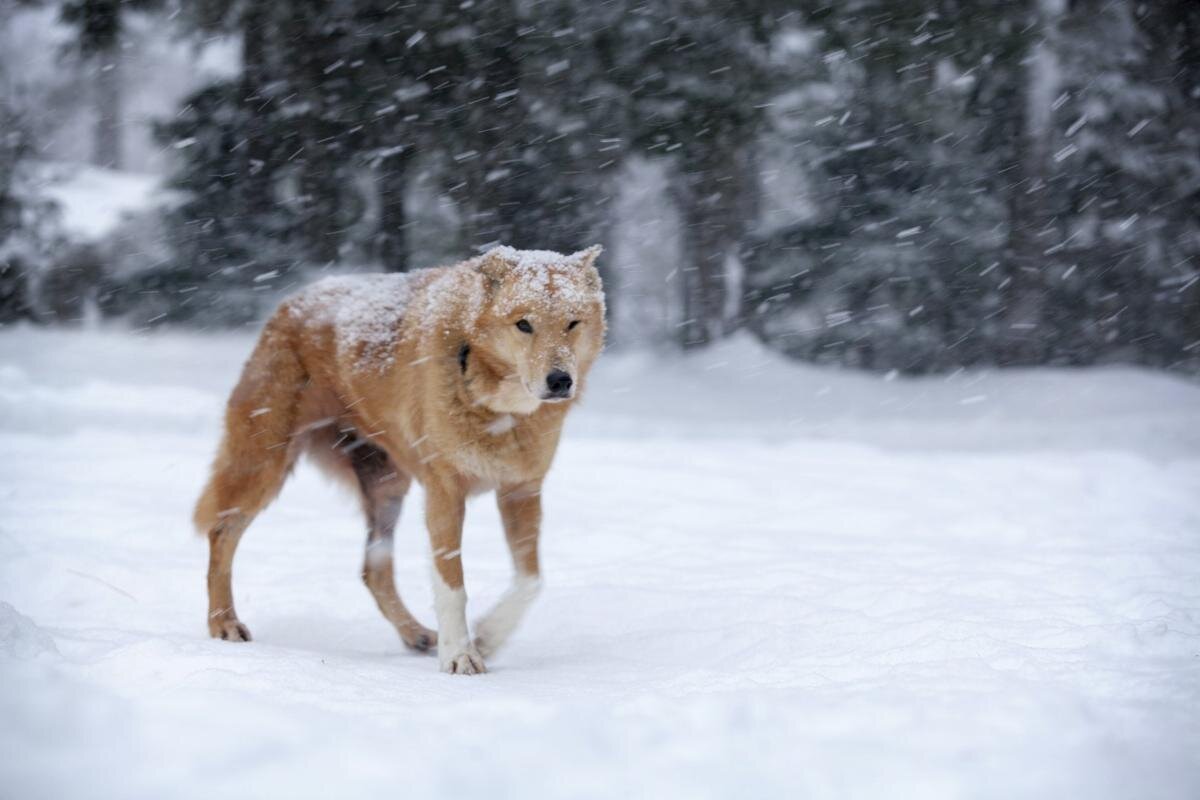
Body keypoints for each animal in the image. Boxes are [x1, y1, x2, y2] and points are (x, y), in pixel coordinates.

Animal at [198, 245, 609, 676]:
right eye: (524, 325)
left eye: (572, 323)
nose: (560, 381)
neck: (497, 406)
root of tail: (292, 301)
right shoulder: (445, 491)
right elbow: (452, 585)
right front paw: (459, 655)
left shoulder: (521, 489)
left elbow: (530, 579)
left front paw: (487, 637)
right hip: (264, 465)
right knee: (221, 533)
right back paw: (224, 623)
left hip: (388, 488)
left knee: (373, 570)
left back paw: (416, 635)